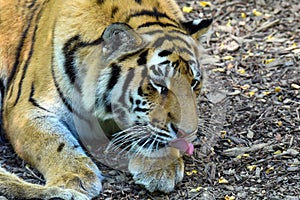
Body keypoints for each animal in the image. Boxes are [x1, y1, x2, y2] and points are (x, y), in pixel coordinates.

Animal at [0, 0, 211, 198]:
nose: (187, 132)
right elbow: (52, 141)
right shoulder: (24, 108)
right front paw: (75, 175)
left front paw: (161, 167)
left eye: (194, 83)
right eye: (159, 84)